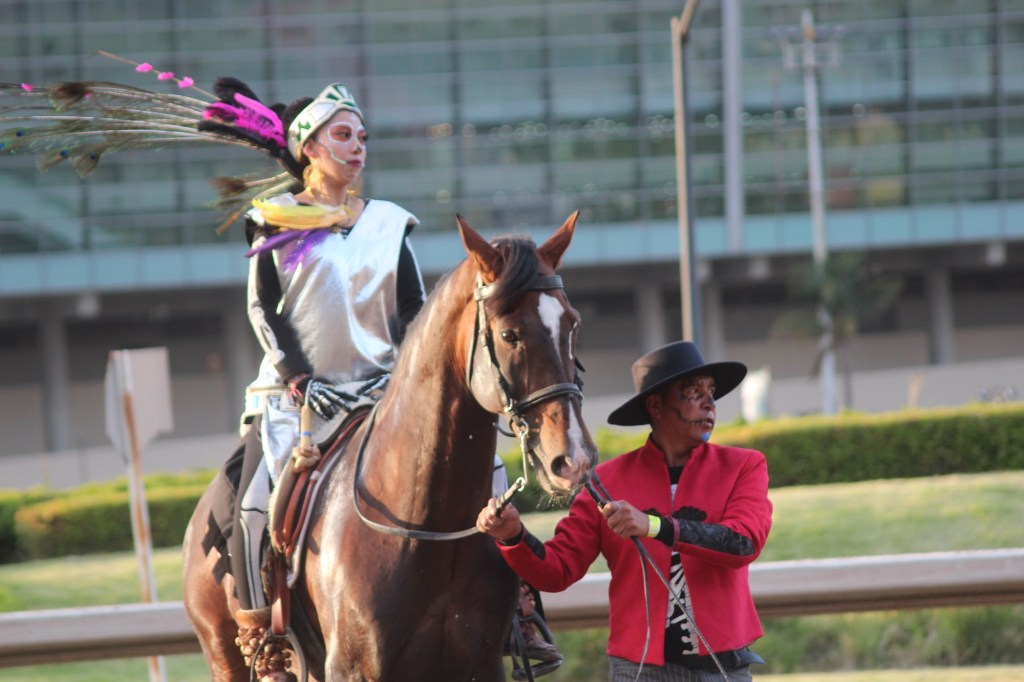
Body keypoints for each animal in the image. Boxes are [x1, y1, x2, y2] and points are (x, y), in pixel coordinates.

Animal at [182, 211, 598, 681]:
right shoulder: (354, 668)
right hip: (224, 652)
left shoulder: (479, 663)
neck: (426, 530)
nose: (574, 459)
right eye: (511, 334)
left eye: (573, 323)